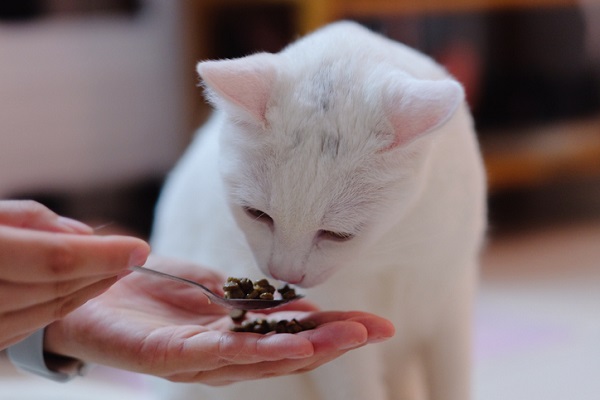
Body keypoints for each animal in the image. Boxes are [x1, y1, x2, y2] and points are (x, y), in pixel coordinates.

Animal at [151, 21, 488, 400]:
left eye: (338, 235)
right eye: (257, 215)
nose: (285, 273)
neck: (388, 248)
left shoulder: (452, 299)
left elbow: (452, 381)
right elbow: (357, 387)